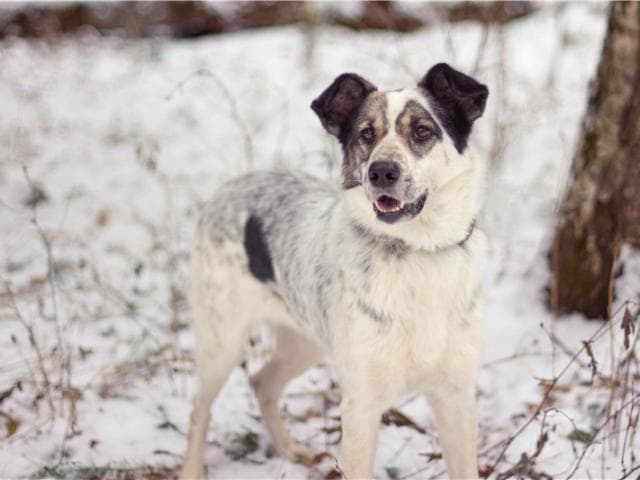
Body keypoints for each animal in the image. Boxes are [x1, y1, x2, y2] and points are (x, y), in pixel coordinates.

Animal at [180, 63, 490, 480]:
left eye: (423, 130)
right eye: (366, 134)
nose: (381, 171)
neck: (416, 251)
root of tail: (232, 184)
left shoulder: (456, 396)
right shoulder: (361, 404)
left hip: (304, 340)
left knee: (262, 382)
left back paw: (290, 450)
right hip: (221, 339)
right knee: (199, 406)